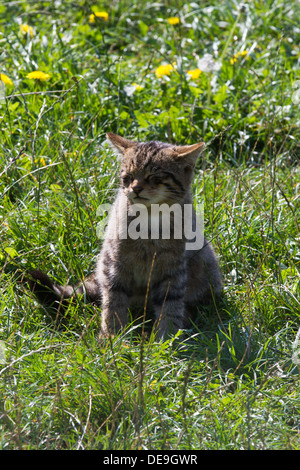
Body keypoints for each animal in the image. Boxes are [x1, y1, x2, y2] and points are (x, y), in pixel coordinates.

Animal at [26, 134, 223, 340]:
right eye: (127, 177)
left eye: (155, 177)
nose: (135, 188)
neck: (149, 223)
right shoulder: (115, 264)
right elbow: (114, 301)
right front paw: (112, 336)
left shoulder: (174, 269)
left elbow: (170, 305)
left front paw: (166, 338)